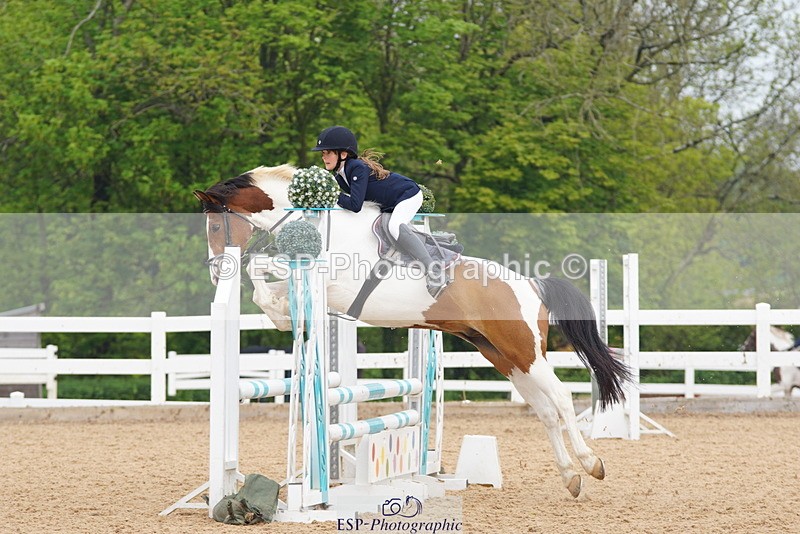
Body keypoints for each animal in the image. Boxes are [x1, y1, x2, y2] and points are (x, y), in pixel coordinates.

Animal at [194, 164, 632, 498]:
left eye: (215, 228)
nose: (217, 271)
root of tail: (531, 284)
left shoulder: (332, 281)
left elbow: (263, 271)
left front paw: (276, 309)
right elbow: (266, 285)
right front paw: (280, 314)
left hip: (525, 351)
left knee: (560, 399)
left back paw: (591, 463)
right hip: (503, 355)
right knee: (545, 411)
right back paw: (570, 477)